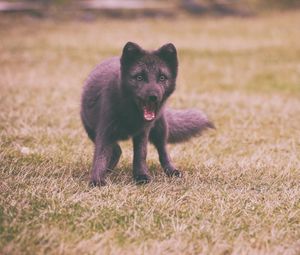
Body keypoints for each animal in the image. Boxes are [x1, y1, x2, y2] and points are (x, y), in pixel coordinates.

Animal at [80, 41, 213, 185]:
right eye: (139, 77)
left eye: (162, 78)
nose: (153, 97)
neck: (130, 114)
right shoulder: (105, 131)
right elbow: (100, 156)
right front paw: (97, 180)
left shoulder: (142, 132)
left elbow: (140, 155)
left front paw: (141, 176)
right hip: (92, 131)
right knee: (116, 150)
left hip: (160, 129)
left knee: (163, 151)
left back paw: (172, 171)